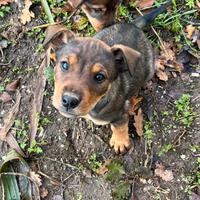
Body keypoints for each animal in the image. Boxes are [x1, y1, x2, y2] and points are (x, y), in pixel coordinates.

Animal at [44, 20, 155, 153]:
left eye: (99, 77)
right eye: (65, 65)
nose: (69, 101)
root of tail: (133, 25)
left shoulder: (120, 115)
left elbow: (120, 127)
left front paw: (120, 142)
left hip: (150, 70)